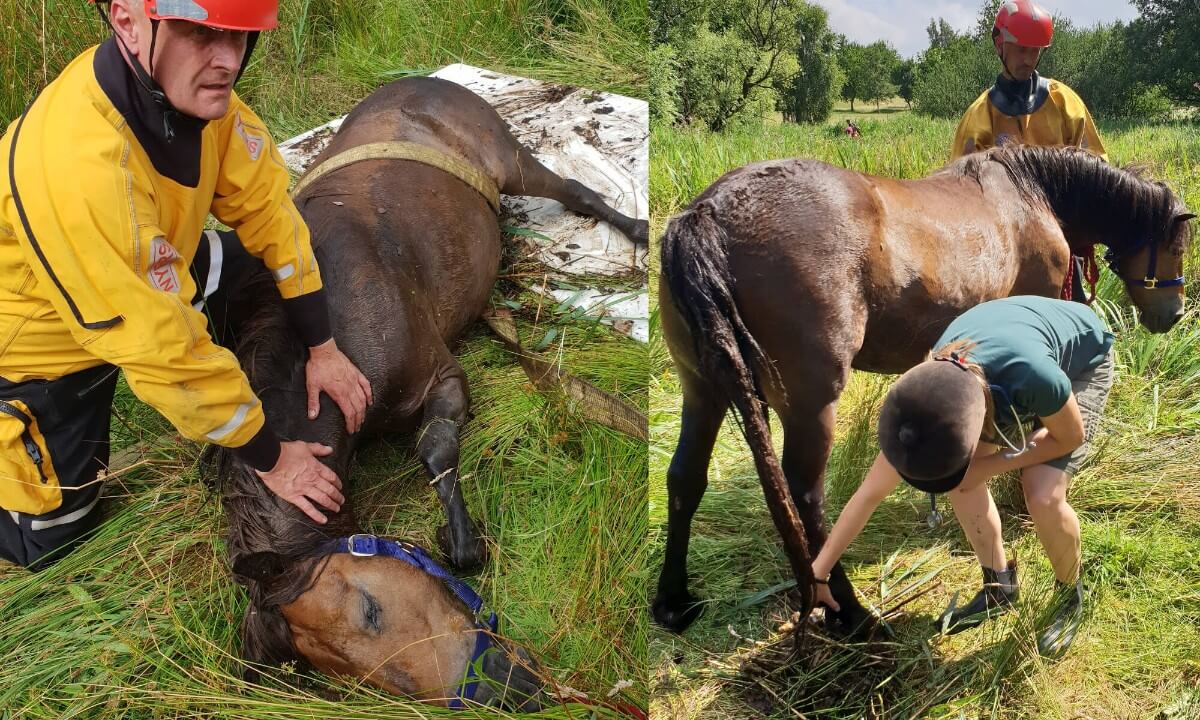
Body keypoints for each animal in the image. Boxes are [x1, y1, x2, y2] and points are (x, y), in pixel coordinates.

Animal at [209, 75, 646, 707]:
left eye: (370, 608)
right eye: (354, 679)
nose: (501, 684)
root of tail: (427, 79)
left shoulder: (441, 377)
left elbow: (435, 447)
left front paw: (462, 541)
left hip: (511, 162)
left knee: (574, 191)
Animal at [654, 145, 1193, 636]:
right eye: (1177, 247)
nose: (1173, 315)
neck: (1030, 191)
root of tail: (708, 214)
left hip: (701, 391)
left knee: (685, 479)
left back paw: (674, 603)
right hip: (811, 403)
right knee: (806, 493)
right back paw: (850, 612)